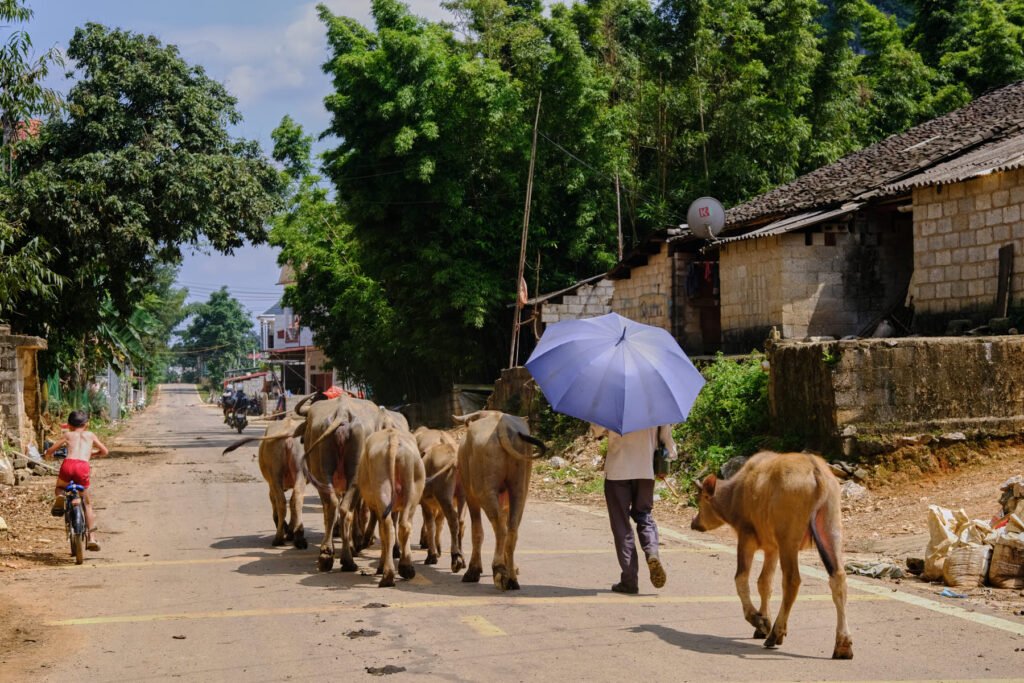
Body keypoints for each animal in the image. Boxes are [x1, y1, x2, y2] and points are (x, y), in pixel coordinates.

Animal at [692, 450, 851, 659]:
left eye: (700, 499)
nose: (694, 523)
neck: (736, 494)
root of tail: (817, 471)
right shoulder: (771, 548)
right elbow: (764, 583)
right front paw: (762, 622)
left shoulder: (747, 537)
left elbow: (741, 579)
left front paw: (759, 621)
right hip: (832, 530)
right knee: (838, 578)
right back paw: (843, 645)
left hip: (788, 541)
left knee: (792, 581)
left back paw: (775, 634)